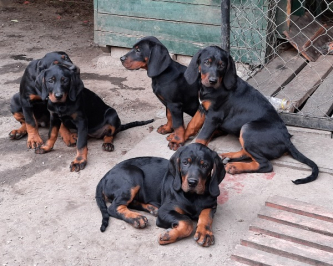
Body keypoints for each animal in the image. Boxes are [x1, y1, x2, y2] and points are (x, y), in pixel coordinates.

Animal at [94, 143, 224, 247]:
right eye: (185, 163)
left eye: (205, 165)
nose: (192, 182)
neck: (193, 196)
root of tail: (106, 175)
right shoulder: (165, 211)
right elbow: (187, 222)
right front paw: (168, 236)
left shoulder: (211, 205)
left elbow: (206, 216)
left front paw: (205, 233)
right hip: (133, 176)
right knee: (114, 207)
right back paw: (136, 218)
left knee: (131, 203)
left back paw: (151, 208)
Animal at [180, 45, 318, 184]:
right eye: (206, 62)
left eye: (222, 65)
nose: (213, 81)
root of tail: (287, 140)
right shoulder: (202, 109)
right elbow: (192, 125)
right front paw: (179, 140)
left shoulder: (213, 116)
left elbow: (201, 138)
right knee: (247, 153)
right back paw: (228, 157)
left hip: (248, 129)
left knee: (265, 164)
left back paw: (235, 167)